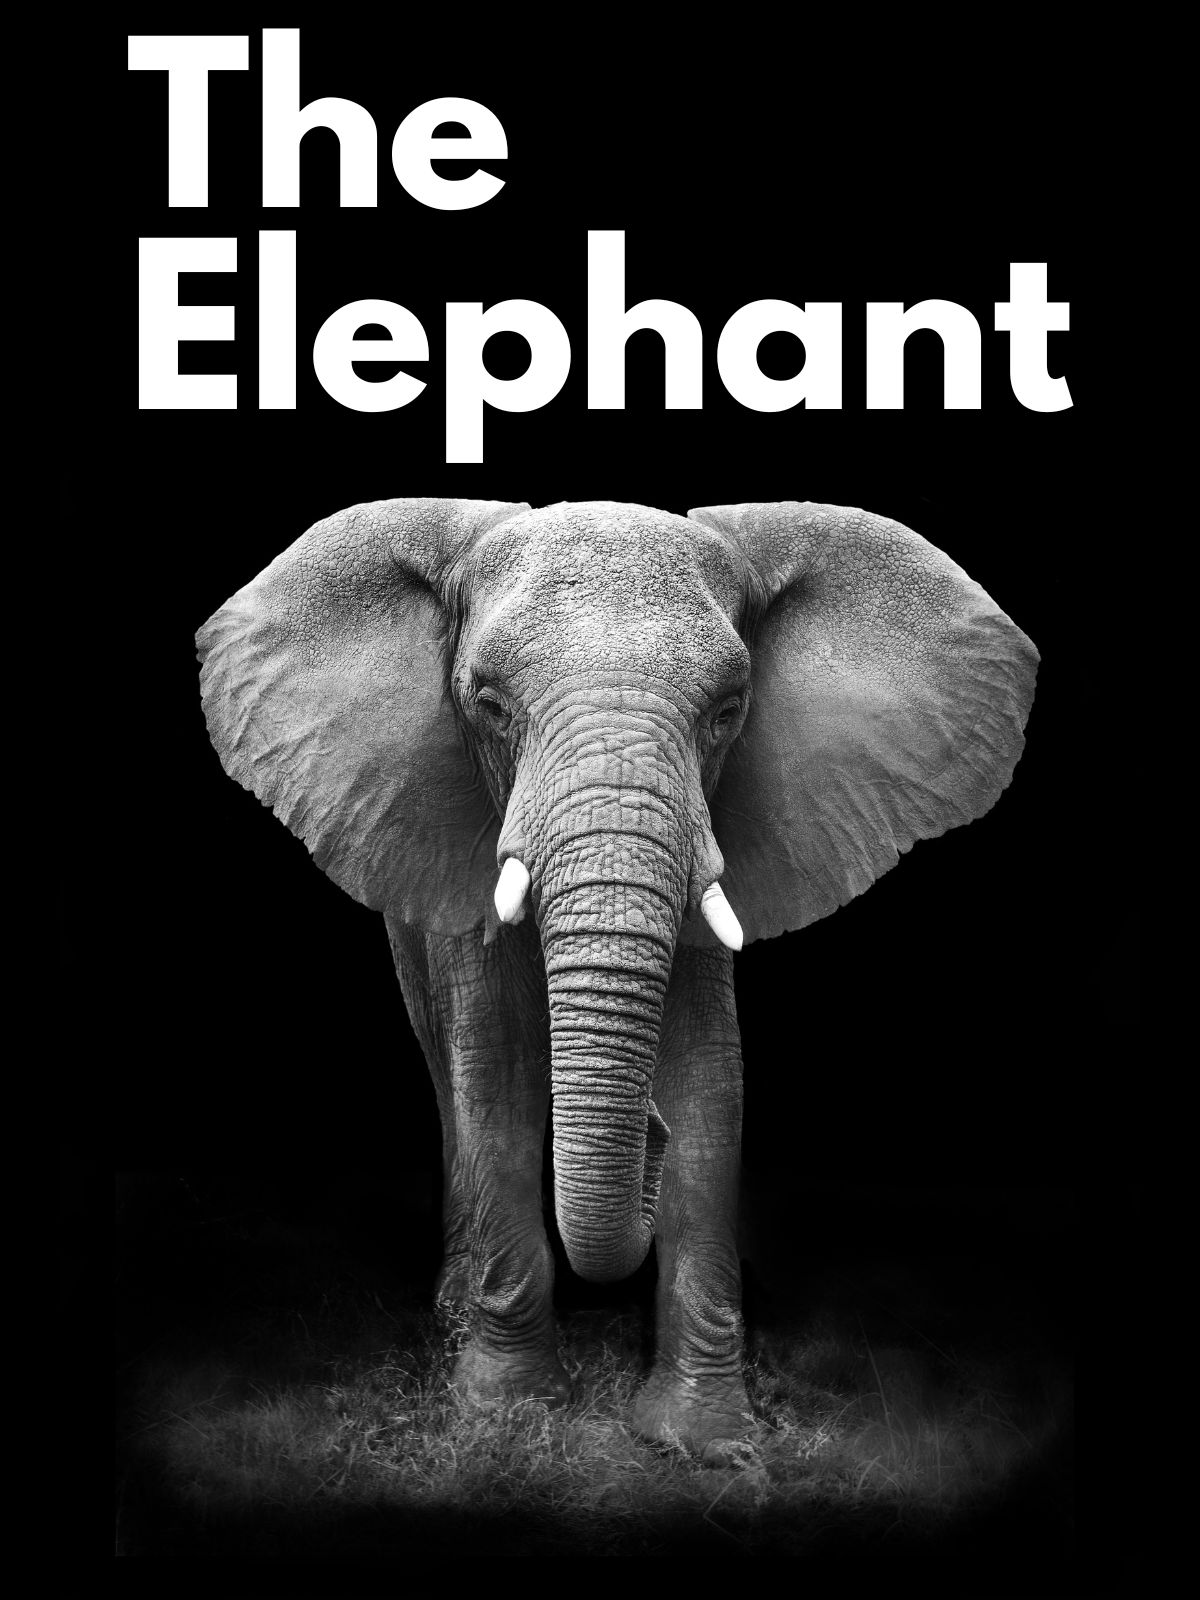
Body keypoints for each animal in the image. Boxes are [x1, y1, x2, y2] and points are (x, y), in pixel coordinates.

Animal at [197, 497, 1037, 1461]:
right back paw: (454, 1315)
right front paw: (508, 1415)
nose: (648, 1136)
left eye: (728, 711)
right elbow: (498, 1077)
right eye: (488, 705)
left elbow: (711, 1082)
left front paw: (706, 1440)